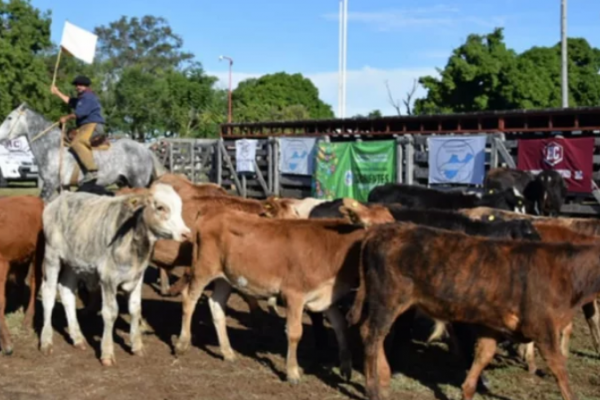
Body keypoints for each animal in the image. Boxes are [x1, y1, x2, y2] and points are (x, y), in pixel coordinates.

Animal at [0, 103, 165, 202]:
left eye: (9, 118)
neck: (52, 147)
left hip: (138, 183)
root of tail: (145, 149)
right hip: (123, 183)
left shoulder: (50, 184)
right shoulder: (62, 186)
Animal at [0, 195, 44, 354]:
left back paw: (27, 320)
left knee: (35, 282)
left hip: (38, 254)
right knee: (18, 281)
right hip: (20, 258)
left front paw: (6, 343)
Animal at [40, 183, 190, 364]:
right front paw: (107, 352)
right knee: (48, 294)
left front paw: (137, 346)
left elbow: (135, 309)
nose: (186, 233)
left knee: (67, 292)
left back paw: (78, 338)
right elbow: (110, 313)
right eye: (160, 207)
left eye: (180, 207)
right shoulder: (108, 279)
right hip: (52, 257)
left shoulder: (137, 277)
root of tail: (62, 196)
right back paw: (46, 341)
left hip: (73, 263)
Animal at [346, 219, 600, 400]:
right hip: (387, 299)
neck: (565, 272)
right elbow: (560, 371)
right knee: (372, 335)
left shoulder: (494, 326)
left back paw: (384, 381)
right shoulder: (542, 329)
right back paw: (374, 389)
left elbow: (482, 358)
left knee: (374, 335)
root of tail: (380, 230)